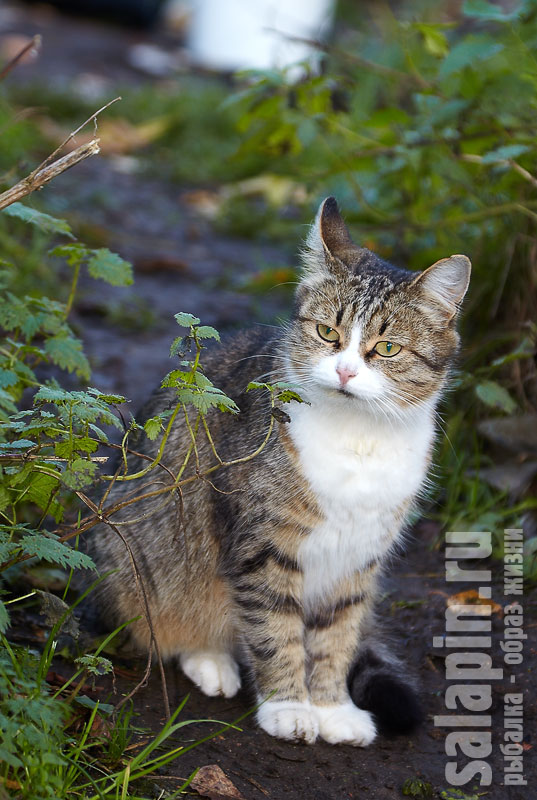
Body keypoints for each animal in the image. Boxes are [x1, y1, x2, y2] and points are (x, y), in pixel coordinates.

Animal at [85, 197, 468, 748]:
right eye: (327, 333)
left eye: (387, 349)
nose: (345, 371)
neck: (358, 439)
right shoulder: (262, 546)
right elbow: (273, 629)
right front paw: (288, 706)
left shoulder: (358, 558)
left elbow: (337, 636)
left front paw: (332, 708)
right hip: (140, 558)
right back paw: (210, 660)